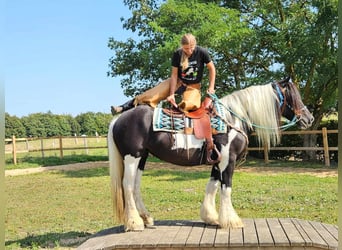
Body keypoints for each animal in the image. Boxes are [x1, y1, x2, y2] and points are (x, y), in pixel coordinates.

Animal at [108, 77, 314, 231]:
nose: (309, 118)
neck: (233, 119)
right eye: (292, 95)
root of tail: (119, 119)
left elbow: (212, 186)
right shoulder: (228, 160)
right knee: (127, 185)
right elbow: (226, 188)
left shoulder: (217, 161)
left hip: (142, 157)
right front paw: (231, 221)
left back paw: (146, 218)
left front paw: (211, 217)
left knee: (135, 186)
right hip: (132, 157)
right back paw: (135, 223)